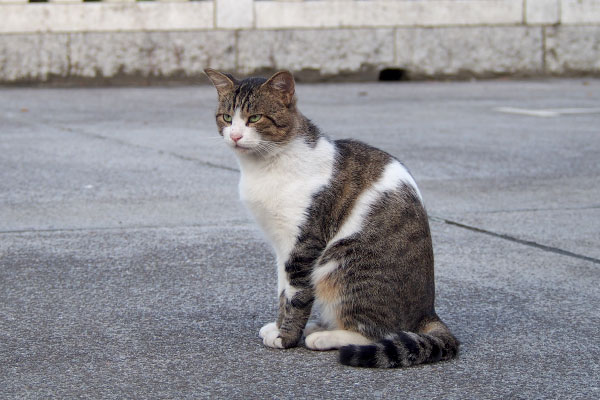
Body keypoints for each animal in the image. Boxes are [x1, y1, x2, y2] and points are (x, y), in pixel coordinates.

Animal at [204, 69, 458, 368]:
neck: (266, 165)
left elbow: (296, 295)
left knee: (378, 332)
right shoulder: (281, 246)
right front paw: (278, 327)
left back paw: (325, 337)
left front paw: (285, 337)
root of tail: (427, 313)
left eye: (254, 118)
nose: (234, 135)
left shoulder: (304, 244)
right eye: (227, 117)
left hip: (339, 264)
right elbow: (282, 290)